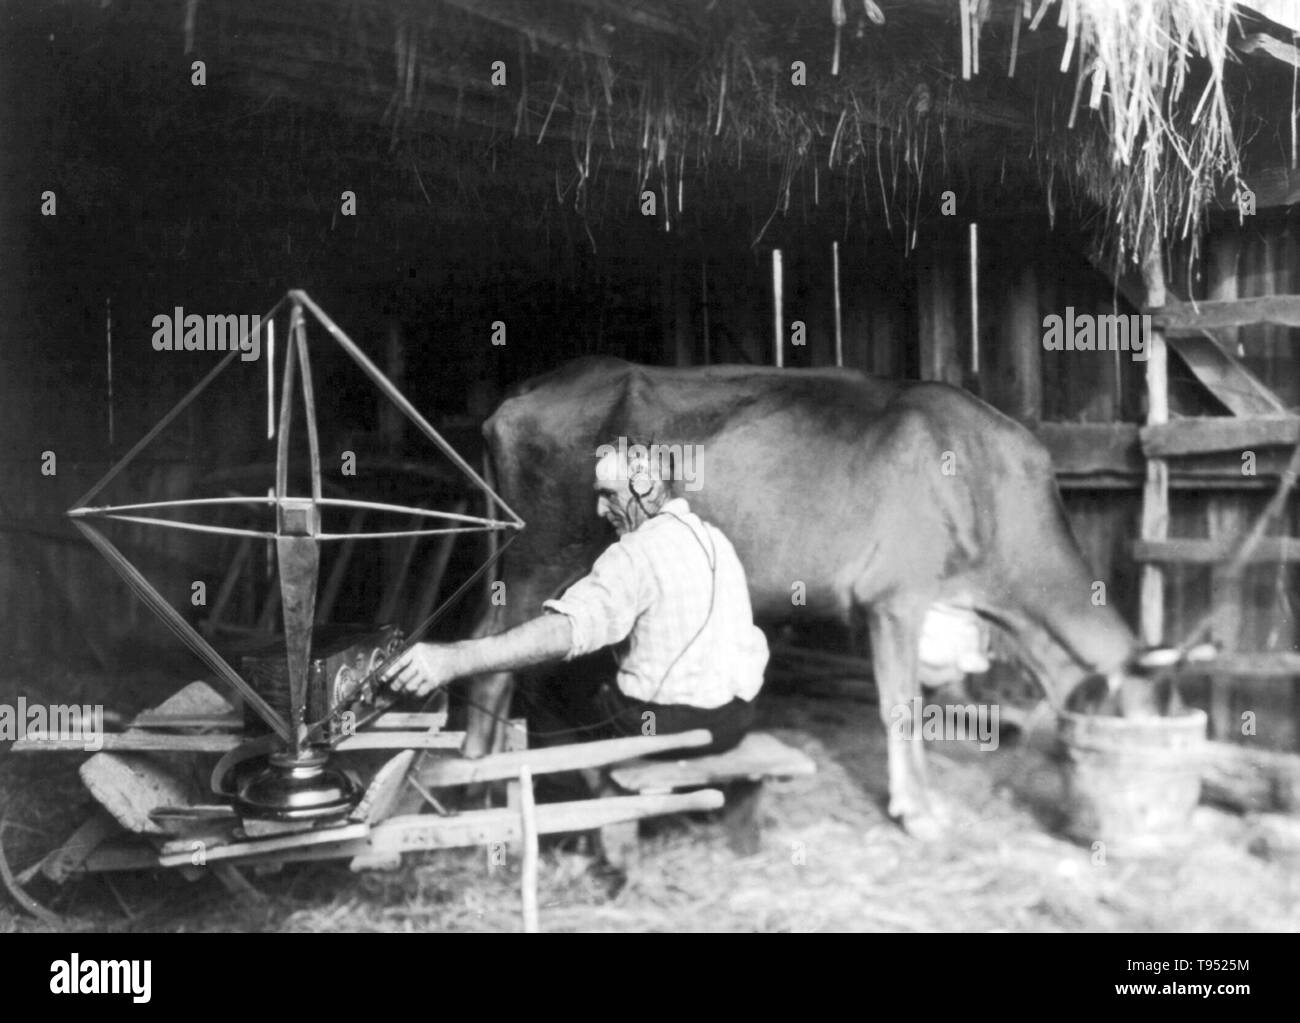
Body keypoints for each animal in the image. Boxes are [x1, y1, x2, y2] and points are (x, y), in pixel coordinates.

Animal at [462, 356, 1154, 837]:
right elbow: (901, 708)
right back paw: (474, 785)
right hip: (539, 554)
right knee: (491, 656)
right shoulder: (895, 597)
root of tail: (528, 390)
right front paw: (919, 813)